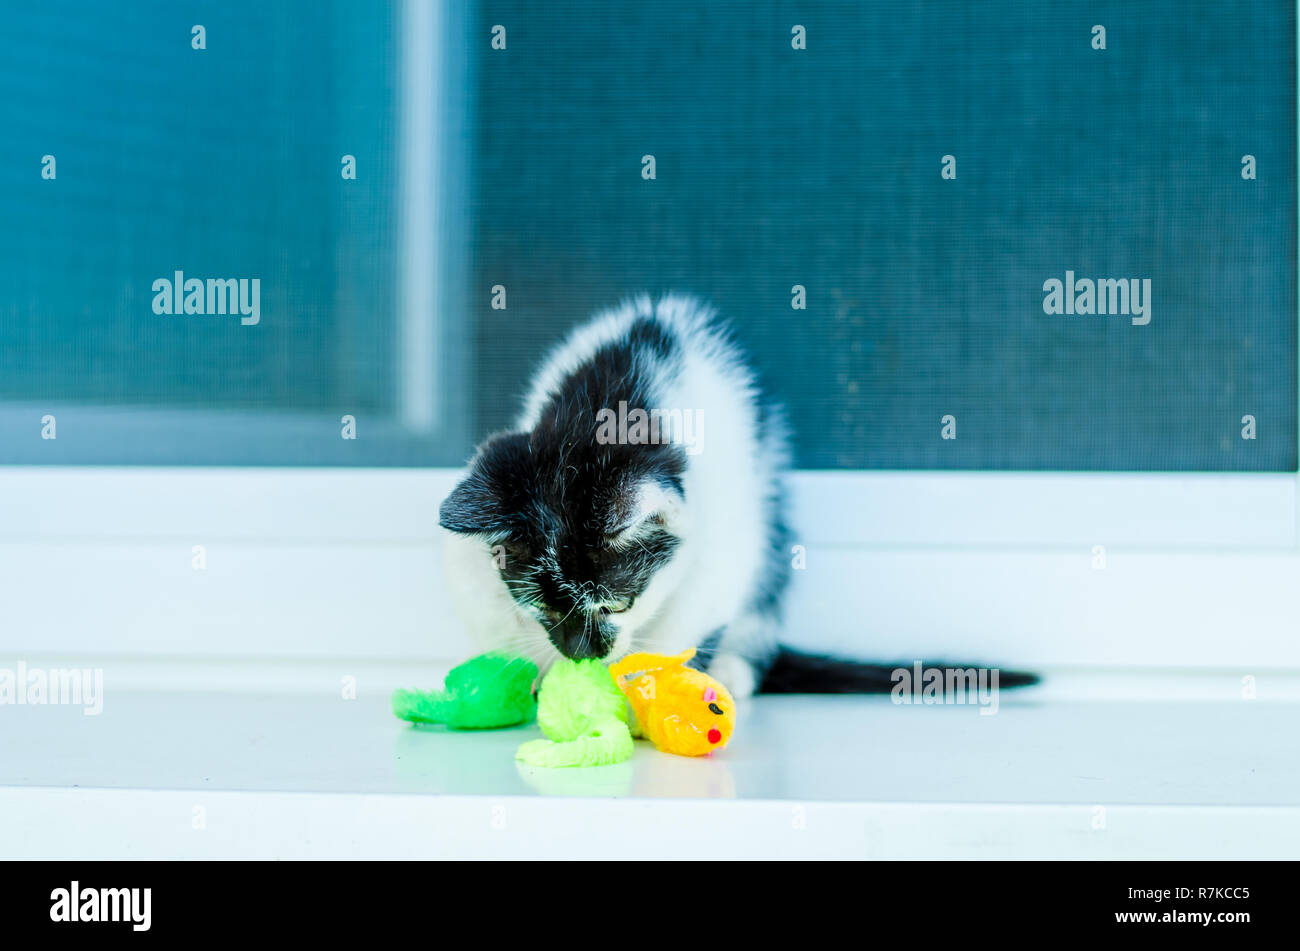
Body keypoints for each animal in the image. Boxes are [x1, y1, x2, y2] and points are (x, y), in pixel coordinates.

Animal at [436, 293, 1034, 696]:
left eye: (618, 604)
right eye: (540, 607)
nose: (584, 657)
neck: (608, 399)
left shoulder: (724, 520)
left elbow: (701, 599)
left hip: (769, 522)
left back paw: (732, 670)